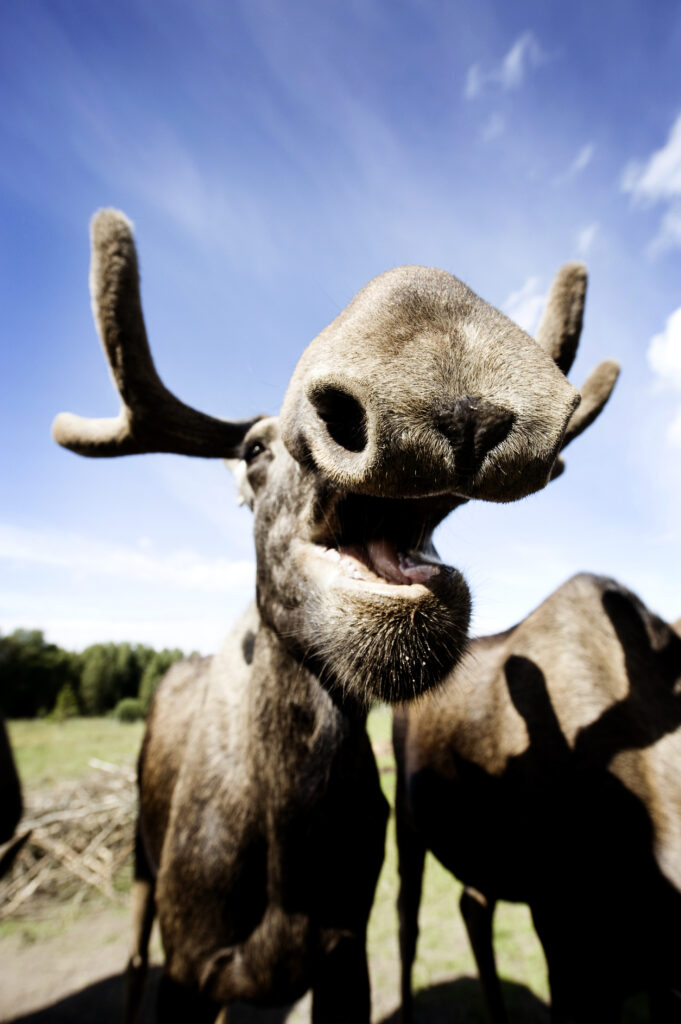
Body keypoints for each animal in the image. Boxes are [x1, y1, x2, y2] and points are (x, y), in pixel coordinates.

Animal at [52, 209, 618, 1023]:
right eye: (254, 450)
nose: (432, 331)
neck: (288, 852)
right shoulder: (188, 964)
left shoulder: (344, 952)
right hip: (139, 864)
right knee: (130, 957)